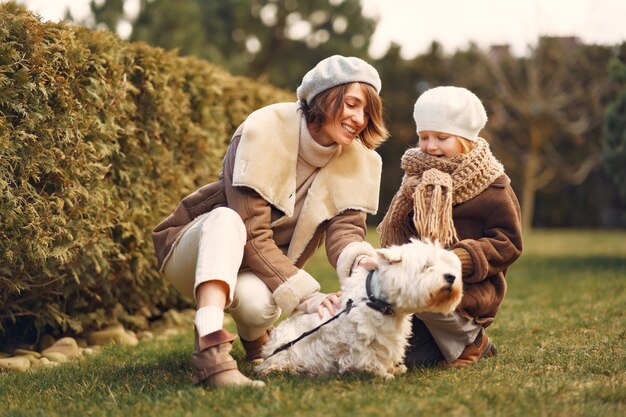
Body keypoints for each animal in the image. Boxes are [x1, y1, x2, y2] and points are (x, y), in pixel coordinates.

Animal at [254, 239, 464, 378]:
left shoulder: (388, 338)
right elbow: (368, 358)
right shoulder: (360, 342)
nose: (451, 277)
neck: (376, 301)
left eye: (446, 264)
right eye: (427, 266)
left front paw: (394, 368)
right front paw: (383, 374)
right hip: (285, 351)